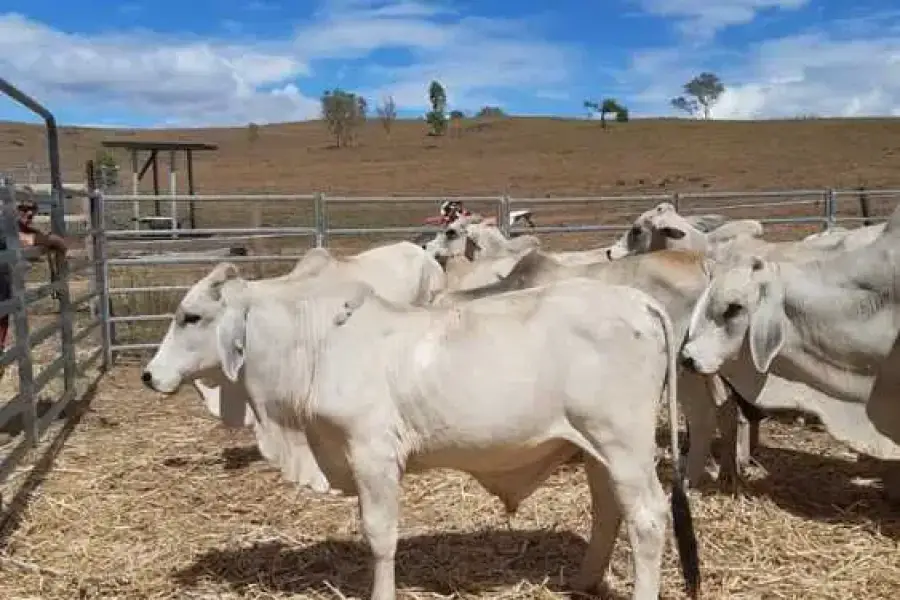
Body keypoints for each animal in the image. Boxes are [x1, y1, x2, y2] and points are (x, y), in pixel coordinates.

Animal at [142, 265, 701, 600]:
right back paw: (583, 583)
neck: (315, 343)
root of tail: (638, 301)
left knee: (647, 518)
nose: (149, 375)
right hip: (595, 448)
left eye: (191, 316)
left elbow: (379, 535)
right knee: (608, 509)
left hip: (624, 443)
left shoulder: (372, 453)